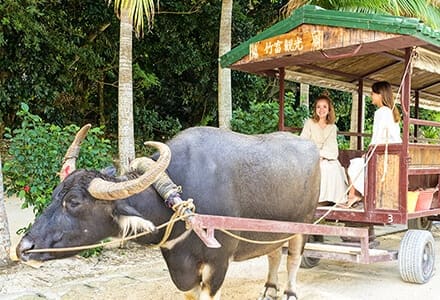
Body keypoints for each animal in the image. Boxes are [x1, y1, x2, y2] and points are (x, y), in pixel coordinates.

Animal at [17, 125, 320, 298]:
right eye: (55, 194)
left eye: (74, 202)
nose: (23, 247)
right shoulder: (181, 265)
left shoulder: (218, 263)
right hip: (273, 230)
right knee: (273, 255)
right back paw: (269, 290)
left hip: (303, 226)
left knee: (293, 260)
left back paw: (289, 292)